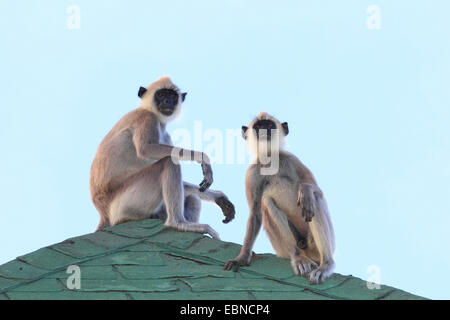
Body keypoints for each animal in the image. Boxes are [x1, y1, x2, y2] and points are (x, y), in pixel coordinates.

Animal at [89, 76, 236, 239]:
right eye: (161, 95)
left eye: (172, 96)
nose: (167, 101)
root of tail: (104, 213)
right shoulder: (146, 118)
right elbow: (146, 150)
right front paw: (203, 158)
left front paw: (218, 196)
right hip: (125, 202)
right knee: (169, 162)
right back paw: (178, 223)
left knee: (192, 198)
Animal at [223, 111, 336, 284]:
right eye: (258, 126)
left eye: (269, 125)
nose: (264, 129)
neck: (270, 160)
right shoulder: (252, 174)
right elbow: (255, 214)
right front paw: (241, 258)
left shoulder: (292, 160)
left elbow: (318, 191)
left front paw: (305, 190)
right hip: (283, 248)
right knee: (266, 201)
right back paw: (298, 258)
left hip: (316, 244)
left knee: (314, 201)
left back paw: (326, 265)